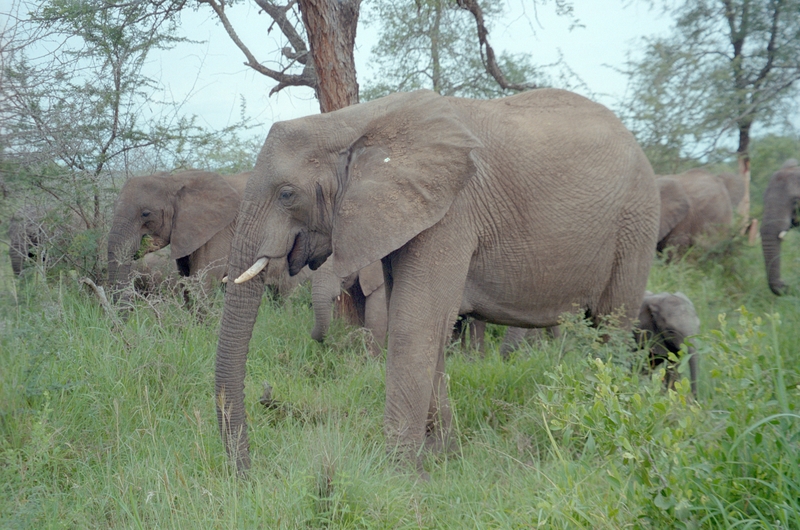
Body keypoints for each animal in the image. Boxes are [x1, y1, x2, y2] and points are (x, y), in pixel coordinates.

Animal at [216, 88, 660, 472]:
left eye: (287, 194)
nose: (247, 473)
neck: (355, 121)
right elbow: (424, 323)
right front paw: (440, 455)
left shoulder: (452, 211)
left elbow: (416, 323)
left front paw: (400, 476)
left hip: (636, 222)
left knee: (612, 326)